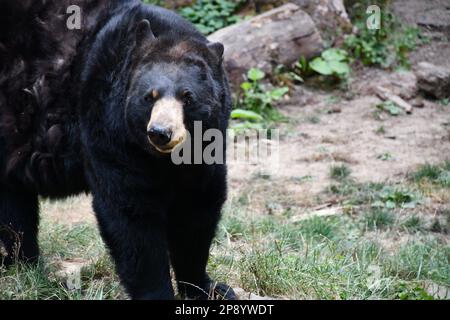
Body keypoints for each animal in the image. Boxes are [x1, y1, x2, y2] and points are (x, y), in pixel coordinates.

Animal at [0, 0, 236, 300]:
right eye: (149, 97)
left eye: (188, 97)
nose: (160, 132)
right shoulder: (107, 126)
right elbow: (131, 212)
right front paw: (158, 292)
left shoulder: (206, 146)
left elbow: (196, 206)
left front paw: (208, 287)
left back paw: (24, 263)